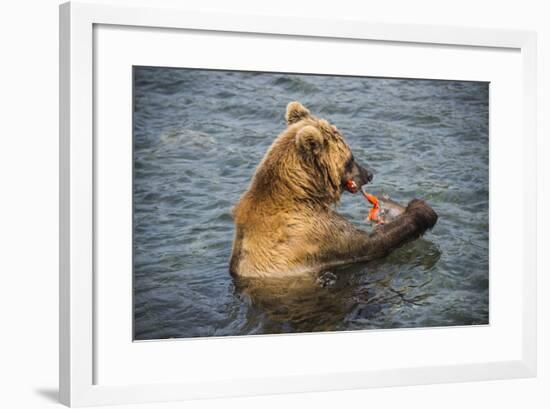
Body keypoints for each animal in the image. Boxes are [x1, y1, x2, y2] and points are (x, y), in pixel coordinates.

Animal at [230, 102, 440, 278]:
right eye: (351, 158)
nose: (369, 174)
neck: (302, 192)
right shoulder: (312, 233)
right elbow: (370, 243)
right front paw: (421, 209)